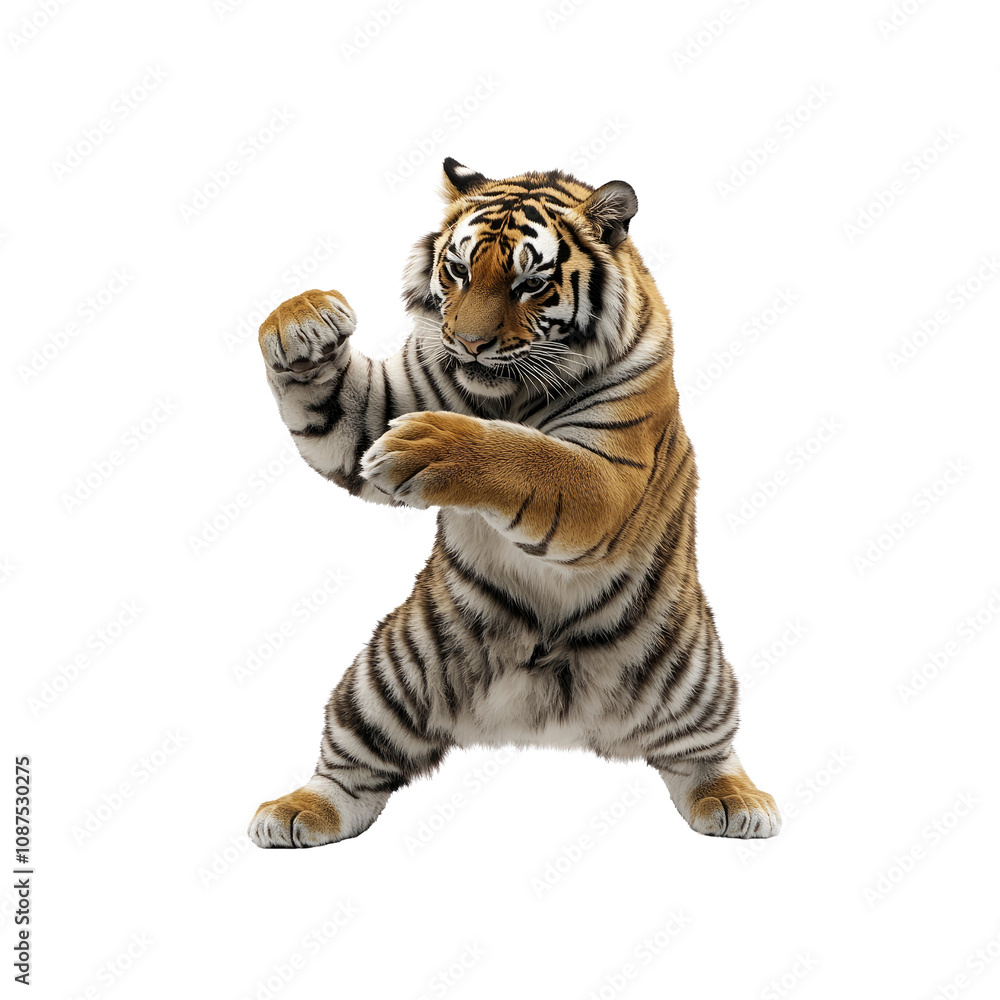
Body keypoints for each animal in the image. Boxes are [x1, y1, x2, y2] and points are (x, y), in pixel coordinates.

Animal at [247, 157, 781, 848]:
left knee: (704, 755)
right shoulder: (386, 406)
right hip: (384, 677)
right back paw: (295, 810)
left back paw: (737, 803)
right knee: (351, 771)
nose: (469, 343)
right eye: (458, 270)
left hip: (699, 684)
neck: (507, 396)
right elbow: (340, 407)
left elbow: (532, 459)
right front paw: (305, 318)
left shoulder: (611, 478)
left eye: (531, 283)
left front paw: (434, 445)